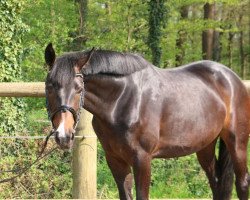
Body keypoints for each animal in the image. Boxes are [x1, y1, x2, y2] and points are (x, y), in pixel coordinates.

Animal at [44, 43, 249, 200]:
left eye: (79, 88)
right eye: (49, 86)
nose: (63, 135)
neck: (122, 100)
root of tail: (233, 79)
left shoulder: (142, 159)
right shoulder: (116, 160)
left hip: (237, 142)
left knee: (242, 182)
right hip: (205, 145)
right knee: (216, 183)